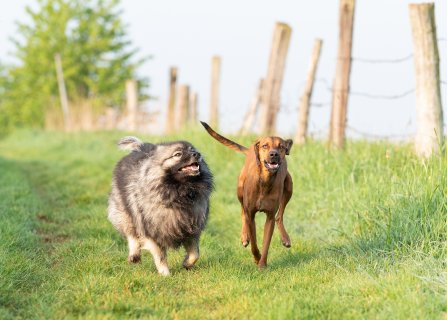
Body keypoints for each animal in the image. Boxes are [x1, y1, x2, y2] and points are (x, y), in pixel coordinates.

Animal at [108, 136, 214, 276]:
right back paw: (134, 255)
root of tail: (140, 147)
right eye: (178, 154)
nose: (197, 154)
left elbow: (195, 254)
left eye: (192, 149)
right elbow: (160, 256)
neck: (180, 193)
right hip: (125, 212)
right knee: (132, 234)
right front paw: (165, 274)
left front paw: (187, 264)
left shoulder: (191, 229)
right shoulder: (153, 232)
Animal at [202, 122, 294, 268]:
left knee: (279, 216)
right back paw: (245, 236)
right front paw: (257, 258)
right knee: (242, 212)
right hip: (240, 191)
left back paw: (285, 238)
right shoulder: (251, 214)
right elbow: (254, 243)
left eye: (281, 147)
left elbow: (266, 243)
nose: (274, 154)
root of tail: (251, 147)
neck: (265, 181)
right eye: (265, 146)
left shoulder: (269, 217)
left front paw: (262, 264)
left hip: (289, 186)